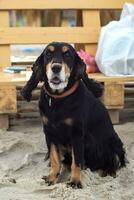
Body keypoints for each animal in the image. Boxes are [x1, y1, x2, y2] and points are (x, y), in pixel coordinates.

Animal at [21, 41, 125, 188]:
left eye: (67, 55)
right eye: (48, 54)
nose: (56, 68)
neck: (59, 99)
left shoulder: (77, 134)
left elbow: (77, 161)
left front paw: (75, 181)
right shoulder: (50, 133)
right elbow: (54, 158)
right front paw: (52, 177)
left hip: (114, 145)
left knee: (114, 161)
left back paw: (108, 172)